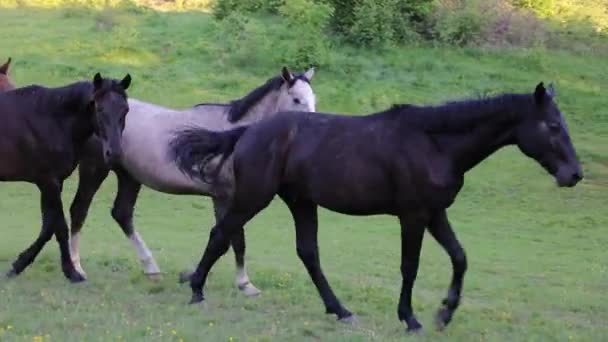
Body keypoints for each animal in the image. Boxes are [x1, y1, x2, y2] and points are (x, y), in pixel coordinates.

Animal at [0, 73, 131, 284]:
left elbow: (48, 226)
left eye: (125, 109)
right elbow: (60, 227)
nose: (115, 153)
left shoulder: (52, 183)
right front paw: (72, 272)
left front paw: (18, 265)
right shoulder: (49, 181)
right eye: (99, 109)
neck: (52, 119)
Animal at [66, 67, 314, 296]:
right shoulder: (225, 197)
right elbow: (234, 239)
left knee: (122, 214)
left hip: (130, 177)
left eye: (313, 99)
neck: (233, 136)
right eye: (296, 99)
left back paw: (151, 269)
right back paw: (76, 267)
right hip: (94, 170)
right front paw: (245, 284)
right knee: (79, 210)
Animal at [172, 83, 584, 334]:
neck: (435, 144)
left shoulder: (435, 213)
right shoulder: (413, 216)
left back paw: (340, 310)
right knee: (222, 233)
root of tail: (248, 132)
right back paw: (196, 290)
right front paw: (411, 318)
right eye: (552, 125)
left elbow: (460, 257)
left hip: (301, 202)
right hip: (255, 197)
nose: (574, 174)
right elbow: (410, 267)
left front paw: (445, 312)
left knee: (307, 252)